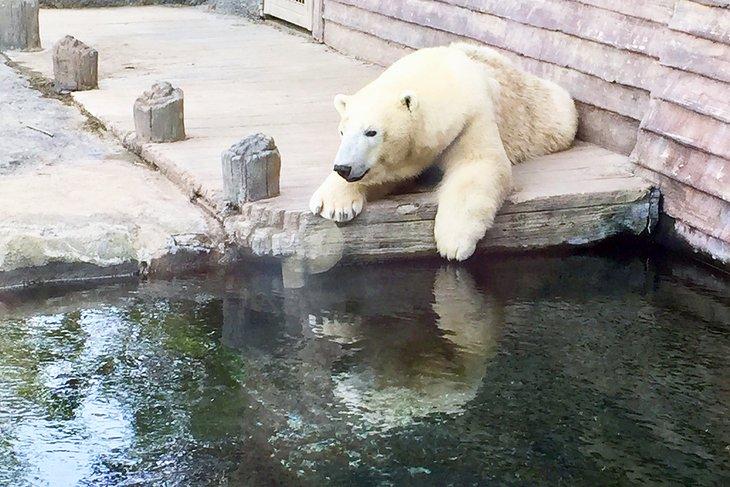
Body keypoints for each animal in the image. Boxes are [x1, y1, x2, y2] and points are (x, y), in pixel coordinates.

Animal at [309, 42, 578, 260]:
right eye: (342, 132)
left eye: (371, 132)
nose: (343, 168)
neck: (441, 73)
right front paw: (334, 205)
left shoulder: (471, 118)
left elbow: (478, 163)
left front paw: (454, 242)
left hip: (544, 115)